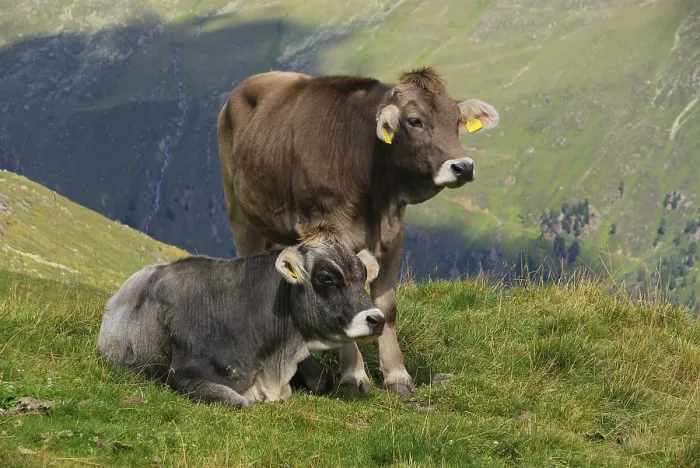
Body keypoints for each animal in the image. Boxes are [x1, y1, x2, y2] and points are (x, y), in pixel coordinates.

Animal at [95, 240, 384, 407]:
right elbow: (240, 402)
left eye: (363, 277)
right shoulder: (185, 376)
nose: (377, 319)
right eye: (326, 278)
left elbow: (324, 379)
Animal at [217, 65, 499, 396]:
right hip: (239, 211)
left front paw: (397, 375)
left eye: (455, 119)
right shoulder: (328, 230)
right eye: (414, 121)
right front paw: (353, 376)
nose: (463, 167)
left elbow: (387, 306)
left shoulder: (393, 235)